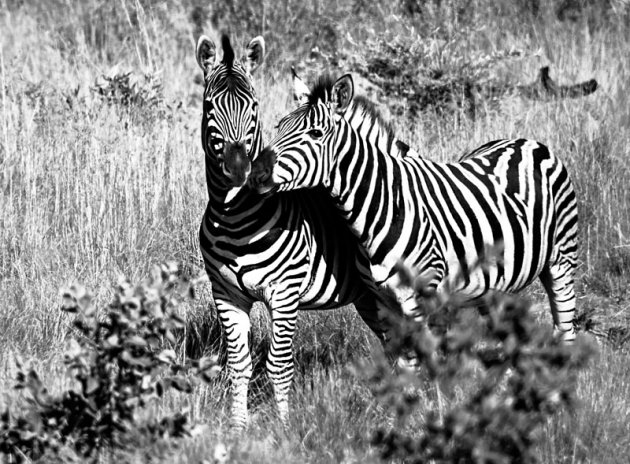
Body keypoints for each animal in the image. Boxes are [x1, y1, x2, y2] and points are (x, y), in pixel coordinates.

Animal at [196, 38, 386, 430]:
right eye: (209, 106)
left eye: (254, 106)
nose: (240, 169)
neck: (233, 218)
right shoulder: (226, 295)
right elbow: (239, 365)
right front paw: (238, 427)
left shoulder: (284, 293)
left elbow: (279, 365)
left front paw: (284, 428)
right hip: (369, 298)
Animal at [252, 71, 584, 340]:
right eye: (279, 127)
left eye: (315, 134)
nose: (255, 174)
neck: (381, 207)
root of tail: (526, 141)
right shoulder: (383, 300)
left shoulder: (424, 297)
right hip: (495, 283)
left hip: (561, 262)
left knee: (564, 328)